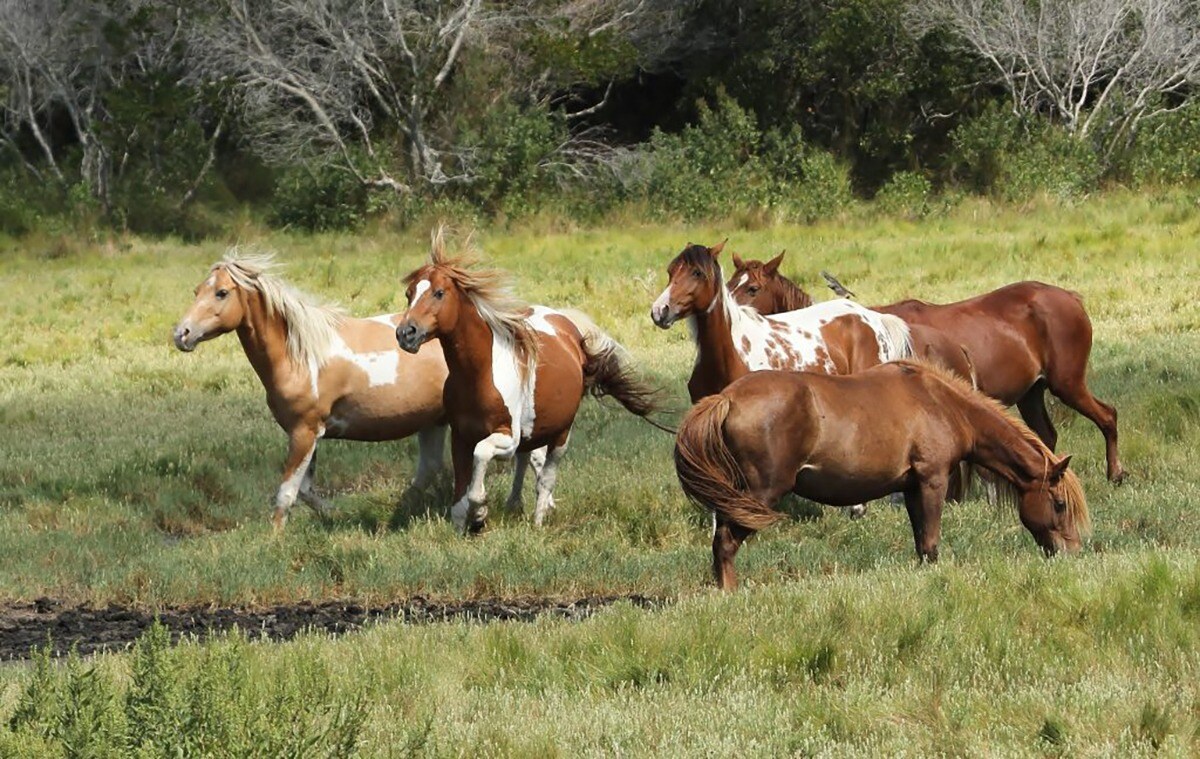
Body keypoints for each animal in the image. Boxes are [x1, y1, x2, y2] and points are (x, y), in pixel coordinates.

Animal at [172, 251, 449, 530]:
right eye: (197, 291)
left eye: (221, 292)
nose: (181, 334)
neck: (301, 357)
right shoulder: (310, 433)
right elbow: (305, 491)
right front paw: (336, 514)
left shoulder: (304, 431)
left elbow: (286, 493)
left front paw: (275, 535)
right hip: (431, 421)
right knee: (430, 469)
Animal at [395, 229, 660, 533]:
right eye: (409, 294)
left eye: (439, 293)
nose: (406, 333)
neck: (478, 375)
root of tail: (567, 325)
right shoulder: (461, 435)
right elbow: (461, 493)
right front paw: (465, 525)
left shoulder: (505, 438)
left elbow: (481, 457)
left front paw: (480, 510)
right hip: (532, 431)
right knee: (525, 460)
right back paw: (514, 505)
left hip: (561, 435)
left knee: (546, 477)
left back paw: (538, 519)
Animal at [675, 361, 1091, 590]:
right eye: (1058, 504)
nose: (1072, 555)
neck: (942, 403)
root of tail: (727, 398)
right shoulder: (932, 480)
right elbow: (932, 542)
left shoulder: (910, 487)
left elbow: (921, 543)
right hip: (757, 495)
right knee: (726, 543)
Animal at [727, 253, 1124, 483]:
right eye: (730, 282)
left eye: (753, 288)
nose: (728, 310)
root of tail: (1071, 297)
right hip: (1032, 392)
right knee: (1046, 435)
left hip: (1067, 383)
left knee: (1108, 416)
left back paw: (1115, 473)